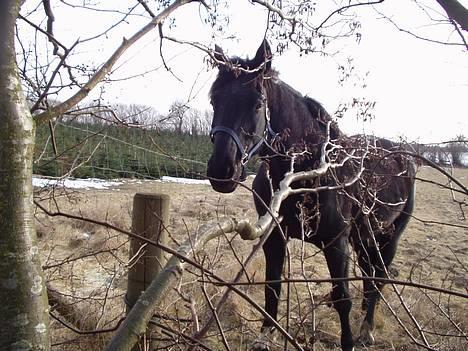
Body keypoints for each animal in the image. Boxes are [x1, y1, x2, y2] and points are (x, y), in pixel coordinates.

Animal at [207, 40, 414, 350]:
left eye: (257, 103)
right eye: (214, 101)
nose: (222, 170)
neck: (304, 173)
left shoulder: (336, 243)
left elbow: (342, 298)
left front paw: (348, 343)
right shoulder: (274, 237)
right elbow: (272, 286)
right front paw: (265, 336)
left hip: (389, 236)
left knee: (379, 277)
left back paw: (366, 330)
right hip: (364, 237)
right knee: (369, 276)